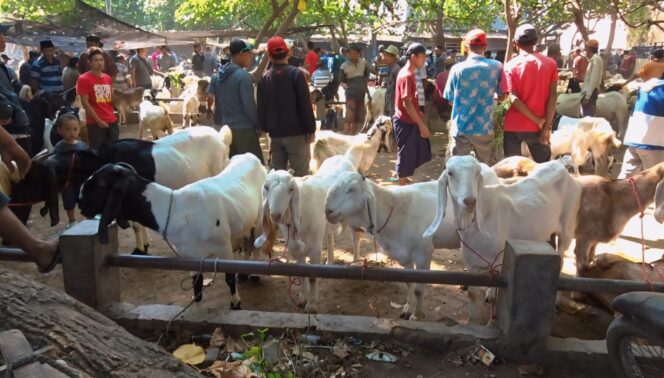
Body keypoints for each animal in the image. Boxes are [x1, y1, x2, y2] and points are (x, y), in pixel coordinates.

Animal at [78, 154, 264, 308]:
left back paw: (254, 275)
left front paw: (236, 304)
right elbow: (197, 284)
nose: (80, 203)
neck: (176, 209)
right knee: (247, 241)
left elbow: (229, 278)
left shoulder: (223, 248)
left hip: (260, 219)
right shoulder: (192, 257)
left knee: (255, 245)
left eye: (101, 183)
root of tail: (250, 156)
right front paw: (198, 310)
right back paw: (245, 274)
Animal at [254, 154, 364, 314]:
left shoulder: (314, 250)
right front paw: (302, 299)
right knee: (329, 236)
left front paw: (311, 305)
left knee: (355, 238)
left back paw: (356, 262)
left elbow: (312, 276)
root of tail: (342, 157)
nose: (275, 215)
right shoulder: (296, 249)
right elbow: (302, 273)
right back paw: (329, 263)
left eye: (291, 189)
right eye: (266, 187)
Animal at [426, 155, 580, 324]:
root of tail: (560, 164)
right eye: (450, 172)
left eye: (476, 173)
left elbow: (496, 298)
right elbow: (472, 293)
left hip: (568, 226)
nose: (470, 201)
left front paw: (492, 323)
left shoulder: (500, 262)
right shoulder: (473, 262)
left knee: (562, 259)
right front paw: (471, 322)